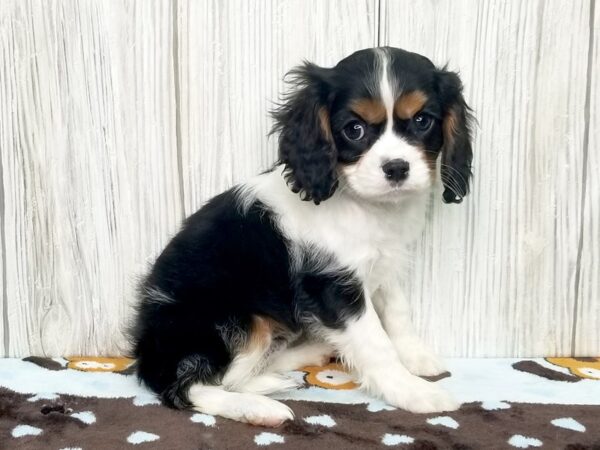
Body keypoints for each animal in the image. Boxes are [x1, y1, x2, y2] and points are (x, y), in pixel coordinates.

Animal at [131, 47, 474, 428]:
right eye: (354, 129)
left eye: (423, 121)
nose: (397, 167)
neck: (365, 204)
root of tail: (147, 353)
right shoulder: (332, 286)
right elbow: (374, 341)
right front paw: (412, 391)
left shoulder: (384, 262)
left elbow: (397, 310)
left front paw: (416, 356)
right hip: (239, 322)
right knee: (199, 384)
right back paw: (260, 405)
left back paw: (310, 352)